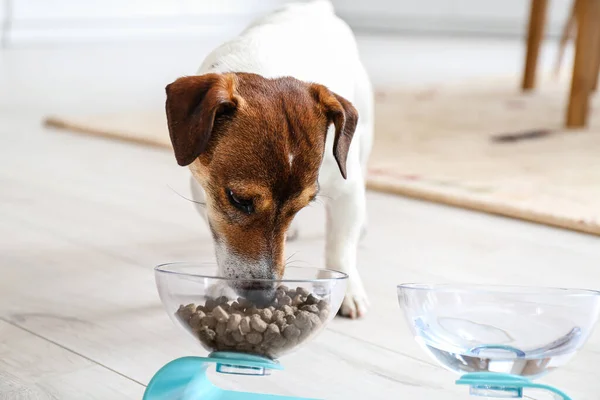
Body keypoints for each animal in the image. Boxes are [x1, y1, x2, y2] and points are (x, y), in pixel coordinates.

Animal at [162, 0, 372, 318]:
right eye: (238, 199)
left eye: (303, 205)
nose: (264, 296)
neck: (269, 64)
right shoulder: (202, 190)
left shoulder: (346, 188)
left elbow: (340, 245)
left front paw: (348, 292)